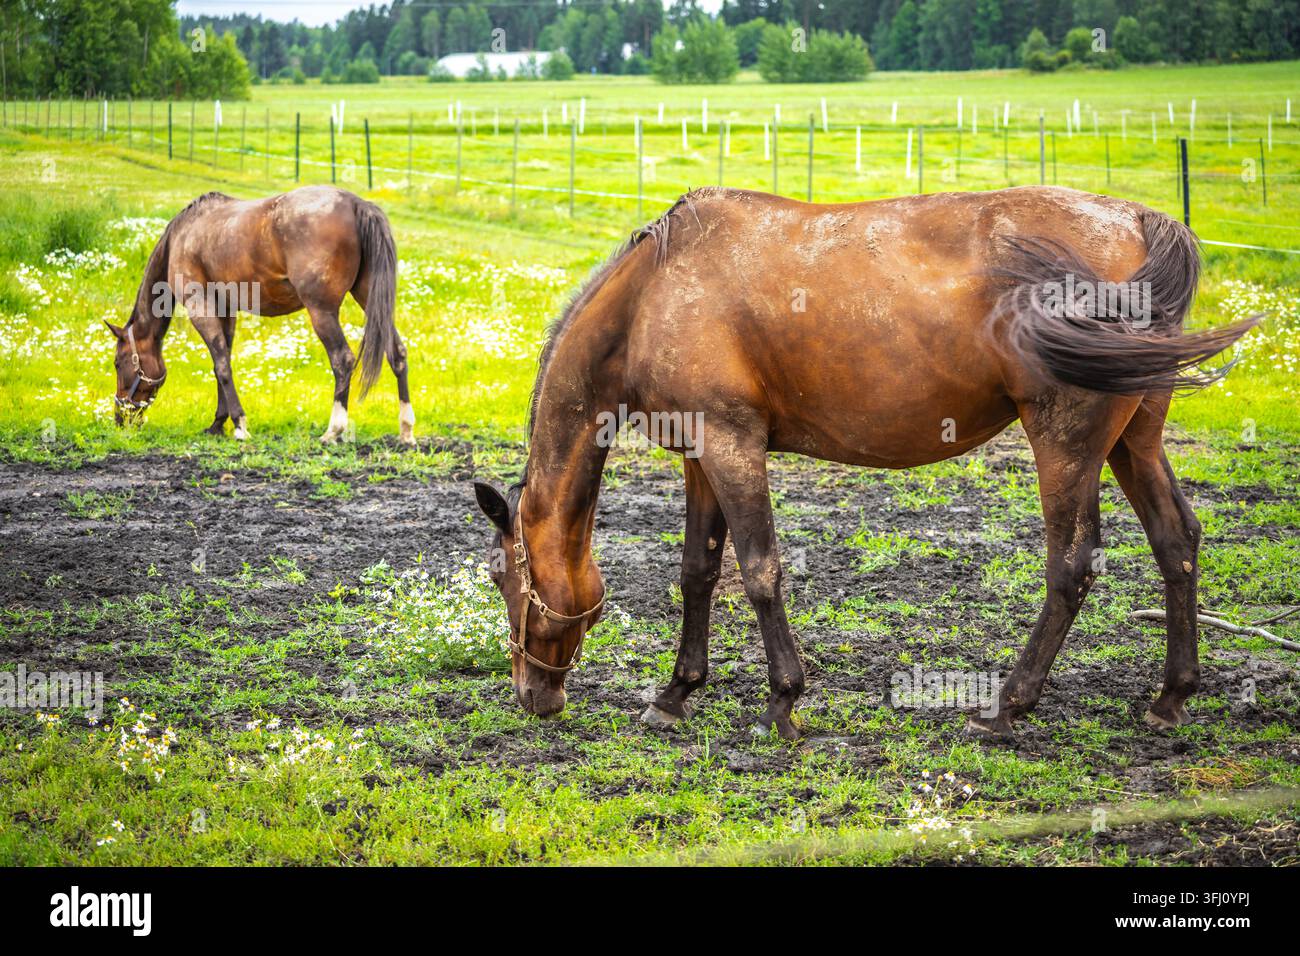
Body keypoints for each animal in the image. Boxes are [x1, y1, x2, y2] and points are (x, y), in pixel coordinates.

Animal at [106, 185, 414, 445]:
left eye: (119, 363)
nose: (120, 418)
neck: (183, 235)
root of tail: (355, 203)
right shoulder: (225, 309)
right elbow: (222, 362)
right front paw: (219, 423)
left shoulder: (200, 306)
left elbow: (221, 365)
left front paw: (239, 424)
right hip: (370, 299)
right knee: (396, 352)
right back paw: (406, 431)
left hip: (322, 312)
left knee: (343, 360)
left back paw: (333, 430)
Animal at [473, 185, 1257, 741]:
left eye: (500, 577)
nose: (531, 695)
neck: (653, 293)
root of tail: (1137, 221)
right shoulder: (701, 454)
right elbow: (698, 571)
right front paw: (676, 694)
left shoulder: (732, 445)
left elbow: (758, 571)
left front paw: (783, 703)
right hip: (1133, 441)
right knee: (1176, 540)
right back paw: (1170, 697)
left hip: (1066, 443)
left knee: (1071, 566)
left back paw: (1007, 706)